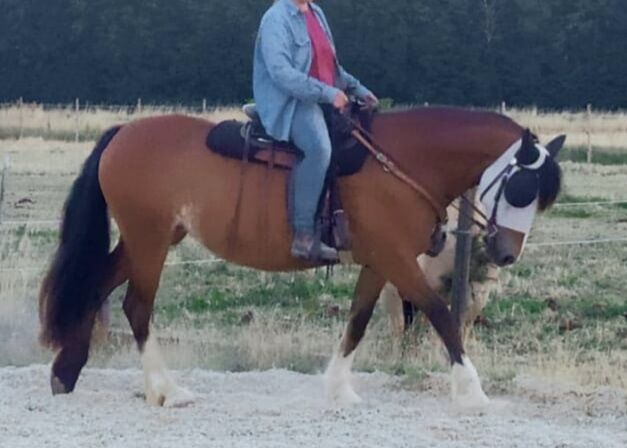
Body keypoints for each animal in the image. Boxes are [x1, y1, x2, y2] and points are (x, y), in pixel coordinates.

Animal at [41, 107, 568, 408]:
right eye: (521, 187)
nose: (506, 252)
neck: (400, 162)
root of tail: (124, 132)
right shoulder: (398, 260)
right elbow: (440, 314)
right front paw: (473, 392)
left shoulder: (379, 262)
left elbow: (356, 321)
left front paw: (339, 390)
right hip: (148, 240)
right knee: (137, 307)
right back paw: (164, 390)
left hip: (150, 238)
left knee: (96, 285)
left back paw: (67, 371)